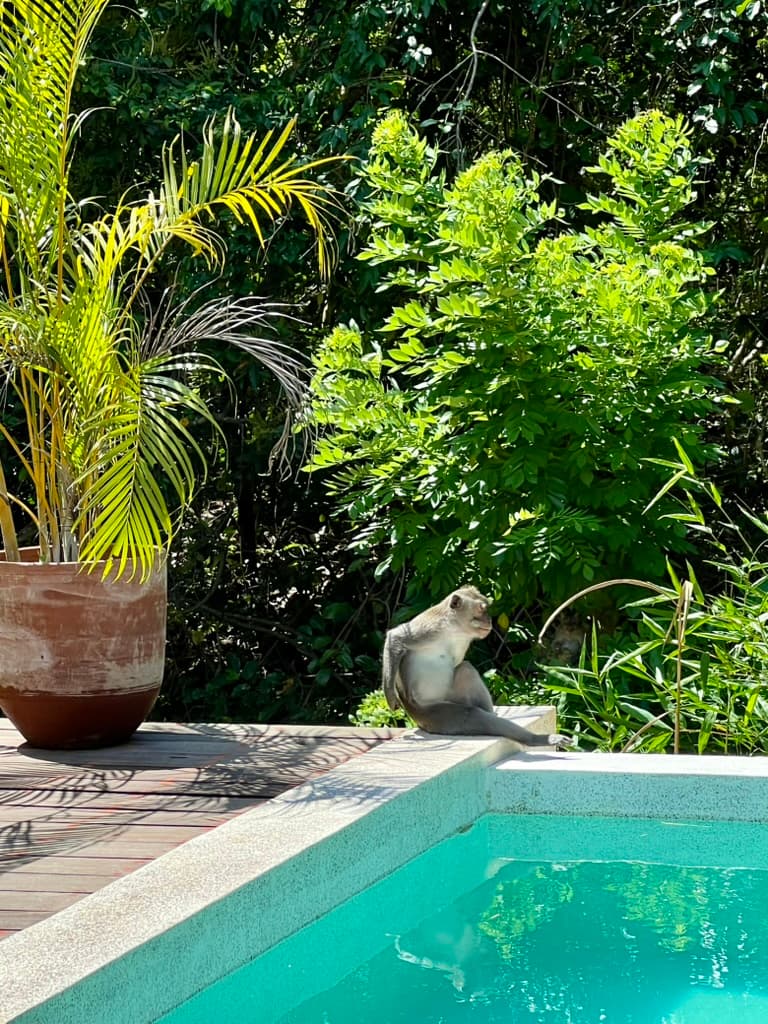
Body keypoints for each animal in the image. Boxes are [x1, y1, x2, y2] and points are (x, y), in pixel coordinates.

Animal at [382, 586, 570, 748]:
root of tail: (419, 720)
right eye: (481, 609)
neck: (454, 628)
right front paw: (391, 695)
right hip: (436, 714)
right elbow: (396, 638)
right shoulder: (430, 628)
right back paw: (536, 739)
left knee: (466, 670)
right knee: (473, 716)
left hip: (450, 697)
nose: (489, 620)